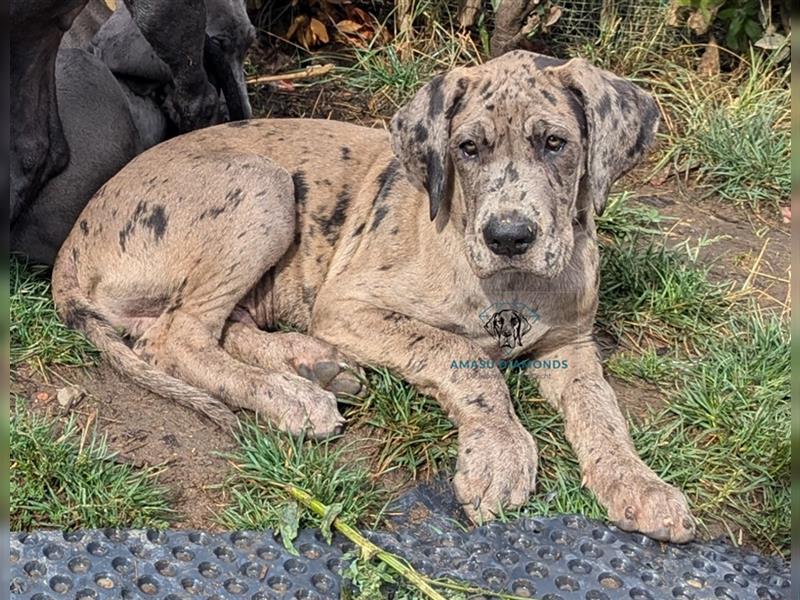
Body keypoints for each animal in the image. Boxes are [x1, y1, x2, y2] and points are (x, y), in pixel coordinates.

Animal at [53, 50, 696, 540]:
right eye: (467, 149)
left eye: (556, 143)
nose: (509, 237)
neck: (509, 285)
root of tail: (68, 254)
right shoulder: (349, 305)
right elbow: (462, 357)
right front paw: (500, 451)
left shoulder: (572, 345)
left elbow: (600, 411)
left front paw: (639, 484)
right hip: (263, 185)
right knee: (178, 338)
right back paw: (292, 397)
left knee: (214, 326)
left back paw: (312, 363)